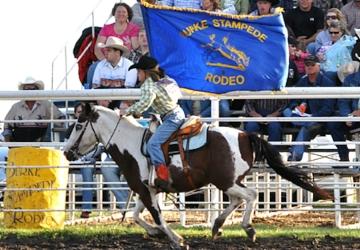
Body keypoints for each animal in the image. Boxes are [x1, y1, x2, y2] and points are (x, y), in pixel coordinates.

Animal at [64, 103, 332, 248]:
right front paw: (155, 233)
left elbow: (156, 217)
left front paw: (177, 239)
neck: (130, 144)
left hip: (226, 180)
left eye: (78, 125)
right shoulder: (146, 189)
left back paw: (247, 228)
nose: (66, 152)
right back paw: (217, 225)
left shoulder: (146, 191)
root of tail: (246, 135)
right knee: (238, 199)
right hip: (230, 181)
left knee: (250, 195)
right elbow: (136, 215)